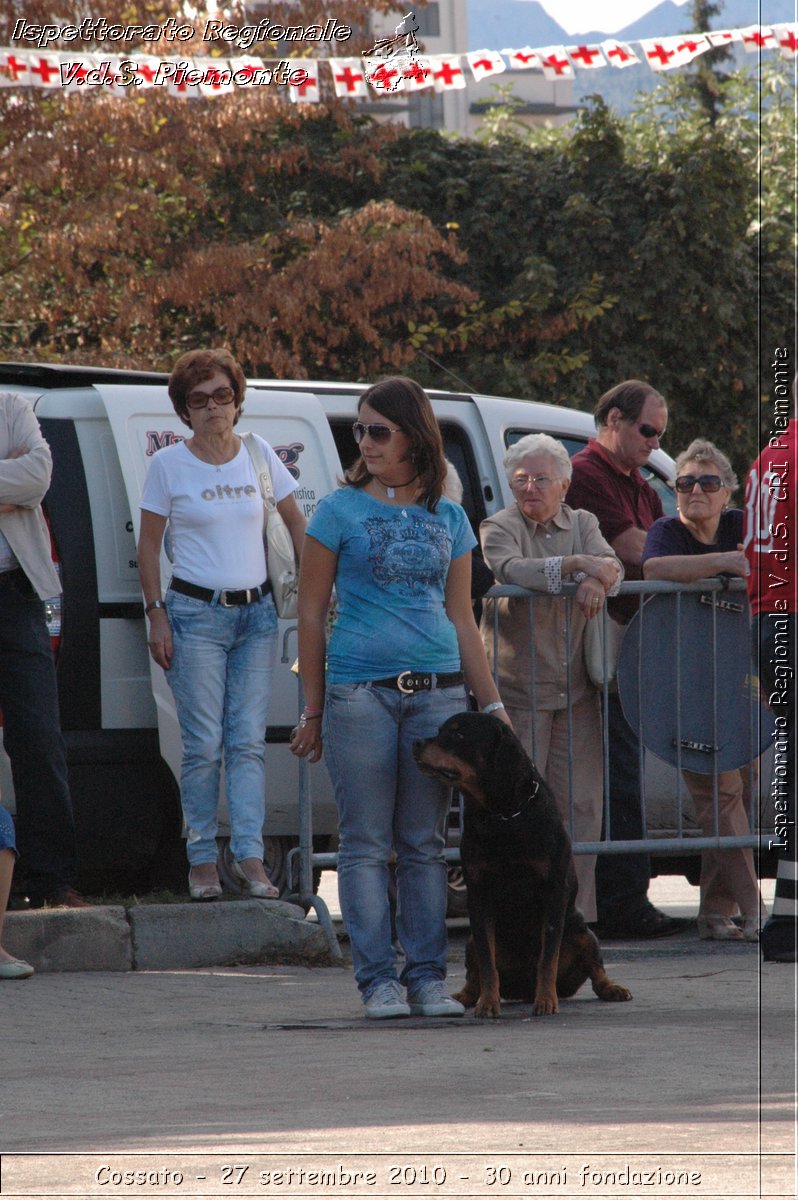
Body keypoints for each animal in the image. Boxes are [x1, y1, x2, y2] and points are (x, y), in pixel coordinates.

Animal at [410, 715, 628, 1017]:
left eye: (459, 735)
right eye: (440, 731)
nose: (416, 743)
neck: (503, 815)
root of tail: (523, 989)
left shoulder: (553, 891)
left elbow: (547, 957)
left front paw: (546, 1000)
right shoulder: (479, 895)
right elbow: (487, 963)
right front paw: (488, 1003)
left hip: (583, 931)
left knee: (595, 968)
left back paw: (611, 988)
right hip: (470, 941)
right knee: (475, 972)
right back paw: (465, 996)